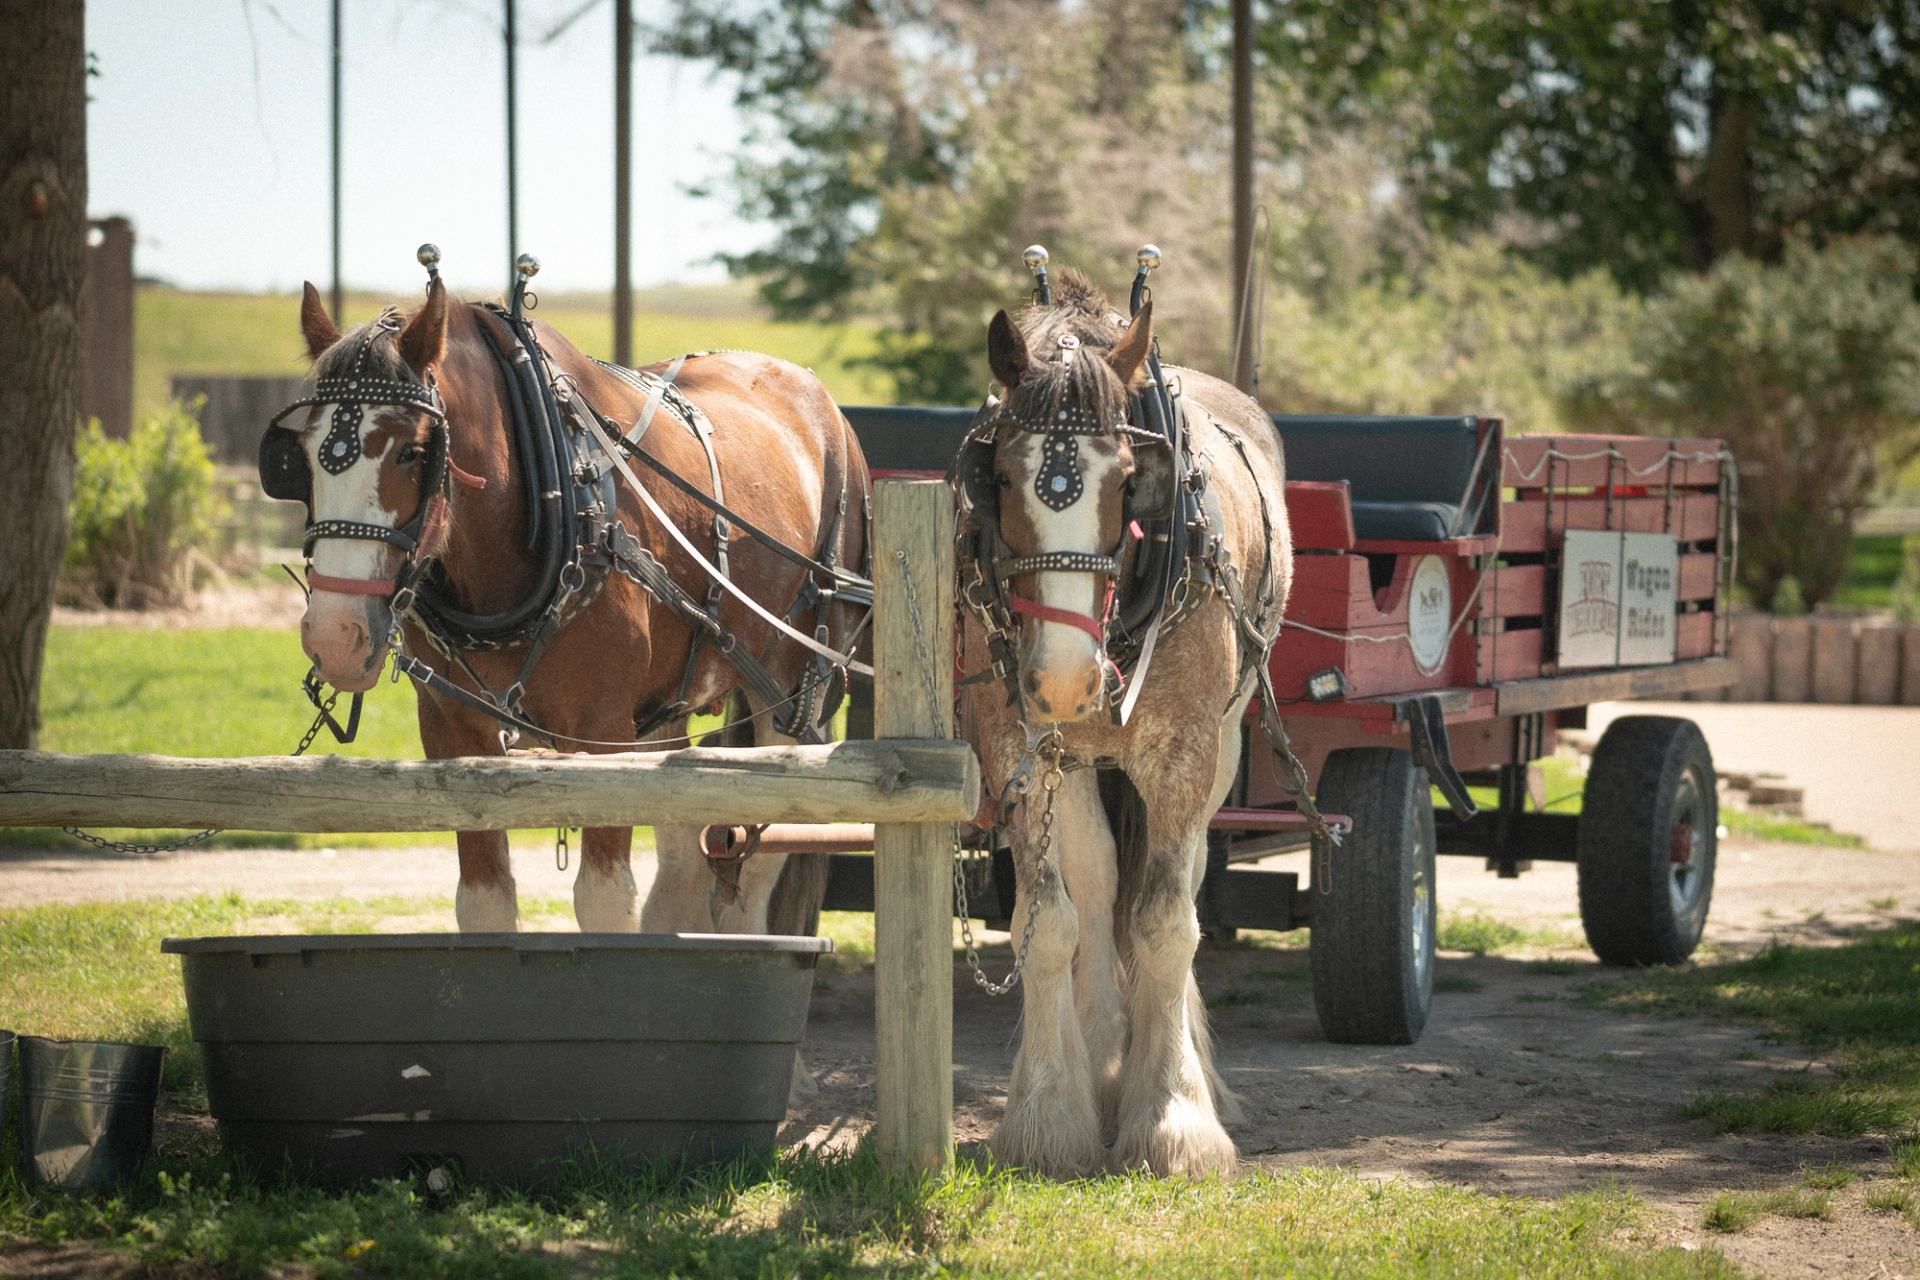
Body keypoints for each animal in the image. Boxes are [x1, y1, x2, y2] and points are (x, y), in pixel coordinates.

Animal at [271, 277, 869, 938]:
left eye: (411, 451)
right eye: (299, 454)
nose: (336, 634)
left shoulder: (604, 731)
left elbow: (604, 900)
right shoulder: (452, 733)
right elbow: (483, 900)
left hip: (795, 681)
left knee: (764, 848)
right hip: (667, 706)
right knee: (686, 848)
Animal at [954, 269, 1291, 1176]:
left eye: (1129, 480)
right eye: (1000, 478)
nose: (1066, 680)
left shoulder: (1184, 753)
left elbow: (1168, 922)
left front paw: (1174, 1121)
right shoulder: (1022, 749)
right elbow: (1051, 922)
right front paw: (1048, 1115)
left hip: (1224, 743)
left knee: (1180, 874)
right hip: (1075, 763)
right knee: (1102, 877)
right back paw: (1104, 1062)